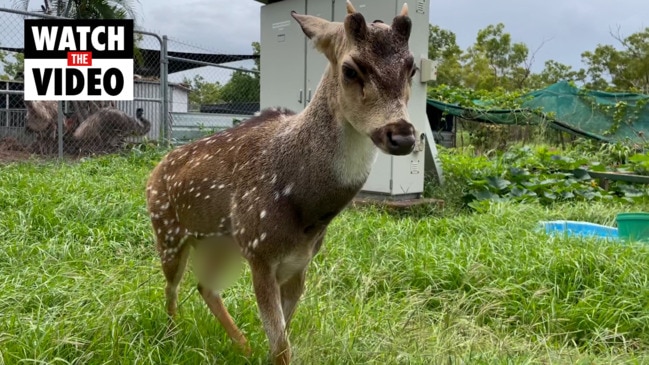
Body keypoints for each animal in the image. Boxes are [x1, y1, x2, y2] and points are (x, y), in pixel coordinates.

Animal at [145, 2, 418, 362]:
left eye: (412, 68)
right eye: (349, 69)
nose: (402, 135)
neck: (306, 213)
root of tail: (154, 171)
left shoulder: (299, 263)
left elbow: (282, 341)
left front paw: (259, 350)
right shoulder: (260, 253)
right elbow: (281, 348)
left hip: (222, 240)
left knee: (205, 284)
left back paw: (243, 346)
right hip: (168, 231)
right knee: (172, 286)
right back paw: (171, 336)